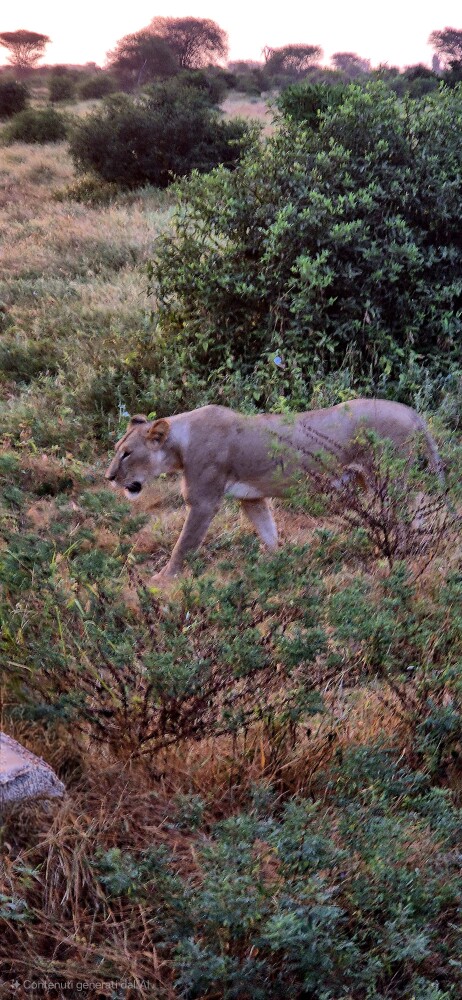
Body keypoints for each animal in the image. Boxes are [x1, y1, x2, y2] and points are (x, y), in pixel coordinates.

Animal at [105, 399, 445, 579]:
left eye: (127, 453)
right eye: (117, 450)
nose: (108, 477)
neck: (179, 444)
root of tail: (408, 409)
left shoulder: (203, 502)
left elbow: (184, 544)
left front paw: (164, 579)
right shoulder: (253, 499)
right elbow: (268, 533)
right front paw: (278, 564)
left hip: (386, 477)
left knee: (404, 513)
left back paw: (397, 556)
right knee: (418, 504)